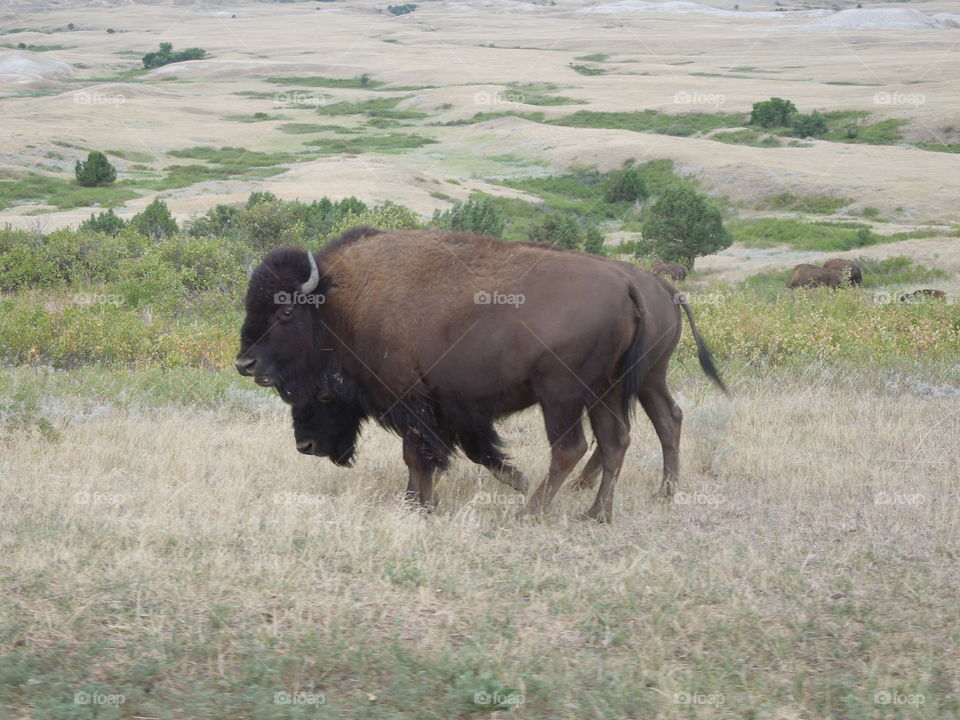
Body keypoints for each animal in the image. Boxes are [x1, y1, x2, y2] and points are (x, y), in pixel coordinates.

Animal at [237, 228, 726, 522]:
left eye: (284, 310)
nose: (246, 364)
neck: (340, 302)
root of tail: (635, 286)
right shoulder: (449, 408)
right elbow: (464, 451)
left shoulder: (411, 401)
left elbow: (418, 455)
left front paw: (419, 505)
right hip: (614, 387)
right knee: (626, 436)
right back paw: (599, 512)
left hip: (564, 393)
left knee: (573, 447)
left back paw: (532, 512)